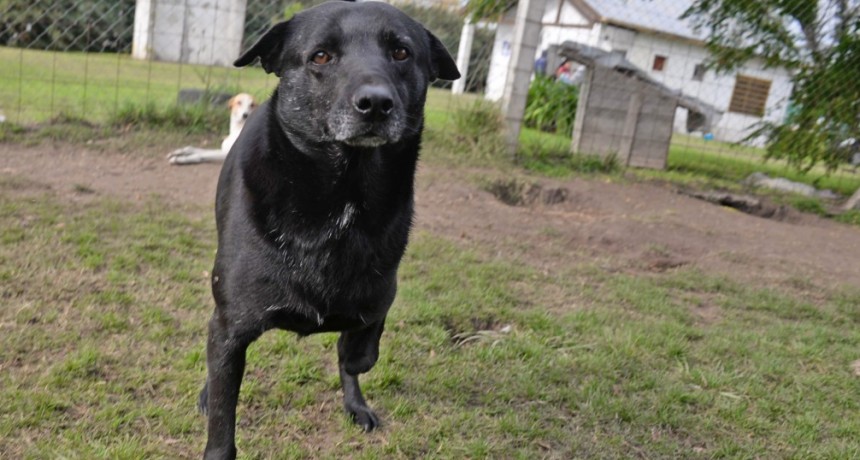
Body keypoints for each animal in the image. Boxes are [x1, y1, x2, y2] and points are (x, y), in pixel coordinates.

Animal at [200, 1, 456, 458]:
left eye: (401, 52)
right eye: (320, 56)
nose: (376, 103)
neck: (341, 190)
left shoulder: (381, 294)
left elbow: (359, 349)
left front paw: (353, 359)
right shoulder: (228, 326)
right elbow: (223, 414)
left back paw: (357, 404)